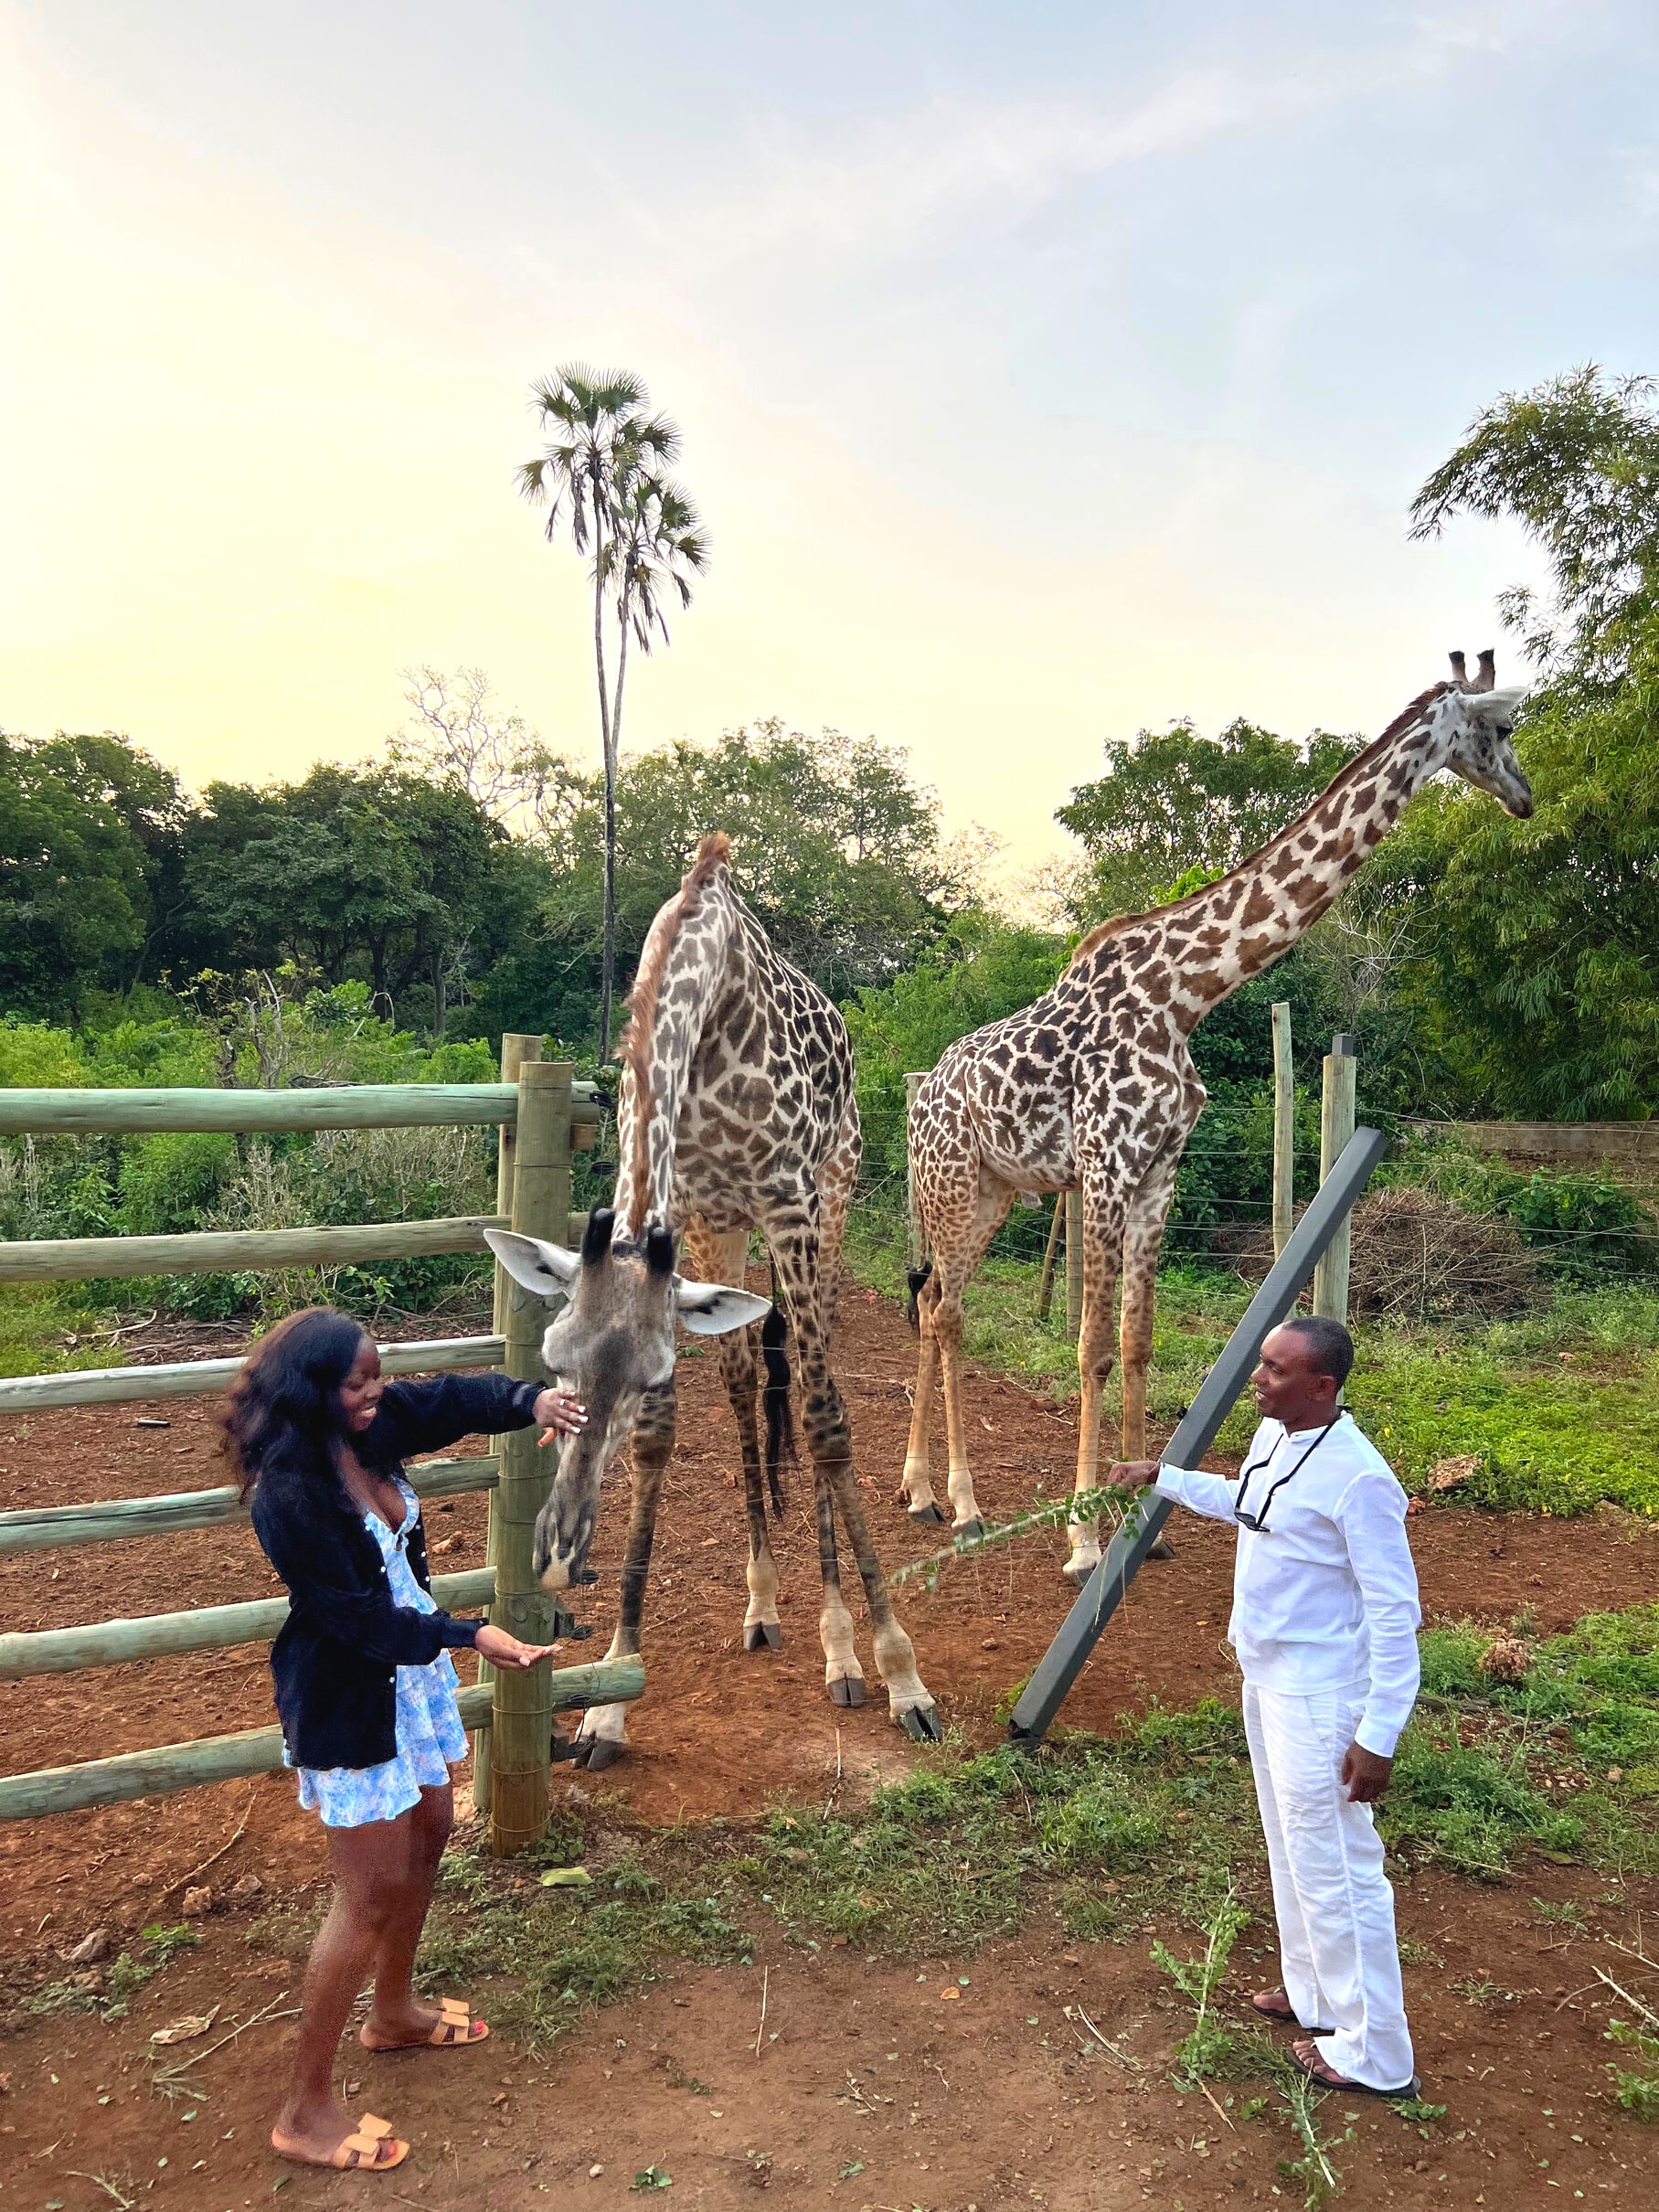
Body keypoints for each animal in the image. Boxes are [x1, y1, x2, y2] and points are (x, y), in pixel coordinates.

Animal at [486, 831, 941, 1760]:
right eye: (552, 1358)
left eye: (649, 1366)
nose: (557, 1548)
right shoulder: (691, 1208)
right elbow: (663, 1436)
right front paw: (610, 1693)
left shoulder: (791, 1204)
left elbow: (825, 1422)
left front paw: (897, 1669)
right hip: (727, 1233)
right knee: (742, 1384)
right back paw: (762, 1604)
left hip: (833, 1199)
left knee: (808, 1384)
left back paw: (840, 1647)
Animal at [902, 645, 1539, 1583]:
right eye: (1502, 727)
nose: (1522, 796)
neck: (1187, 995)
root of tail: (919, 1093)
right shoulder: (1106, 1166)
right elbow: (1091, 1347)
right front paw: (1081, 1542)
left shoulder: (1158, 1171)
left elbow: (1136, 1342)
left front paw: (1138, 1519)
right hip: (948, 1183)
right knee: (944, 1312)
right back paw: (965, 1508)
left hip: (992, 1191)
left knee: (933, 1306)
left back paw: (918, 1491)